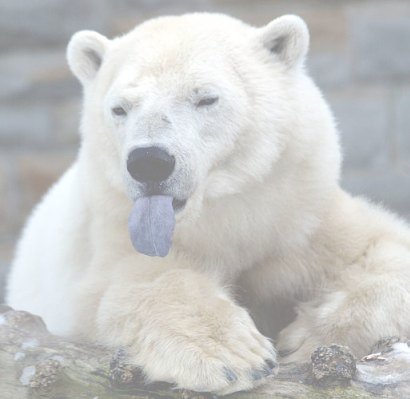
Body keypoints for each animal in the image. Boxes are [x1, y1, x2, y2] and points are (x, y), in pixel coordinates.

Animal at [5, 12, 410, 396]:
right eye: (119, 108)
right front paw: (232, 355)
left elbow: (382, 248)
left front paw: (309, 335)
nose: (149, 161)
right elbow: (137, 283)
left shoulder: (298, 214)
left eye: (205, 98)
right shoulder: (112, 232)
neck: (214, 216)